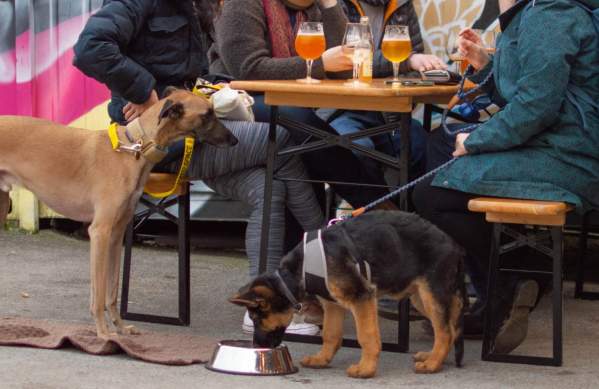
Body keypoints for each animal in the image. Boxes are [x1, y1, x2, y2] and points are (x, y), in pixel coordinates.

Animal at [232, 211, 466, 378]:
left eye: (256, 318)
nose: (257, 347)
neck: (297, 272)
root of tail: (455, 245)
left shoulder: (361, 297)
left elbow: (367, 336)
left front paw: (366, 370)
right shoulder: (332, 303)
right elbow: (330, 334)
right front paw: (322, 359)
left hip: (431, 294)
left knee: (445, 331)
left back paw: (433, 364)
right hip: (420, 297)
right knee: (448, 329)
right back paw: (434, 357)